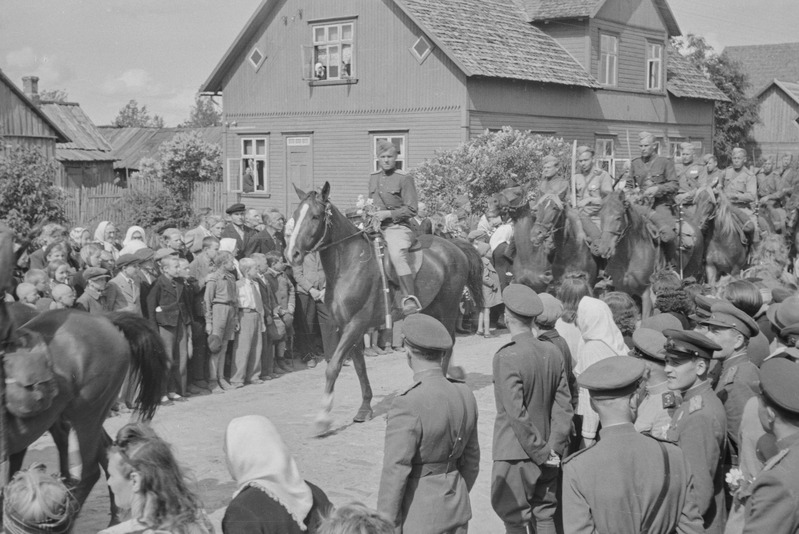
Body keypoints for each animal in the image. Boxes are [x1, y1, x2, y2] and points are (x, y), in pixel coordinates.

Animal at [286, 183, 482, 436]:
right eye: (294, 215)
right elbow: (359, 367)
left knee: (448, 343)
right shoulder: (346, 327)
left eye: (315, 216)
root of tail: (453, 245)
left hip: (447, 307)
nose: (291, 254)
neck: (349, 264)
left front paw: (323, 418)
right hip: (430, 309)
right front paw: (364, 408)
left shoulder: (355, 325)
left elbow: (334, 366)